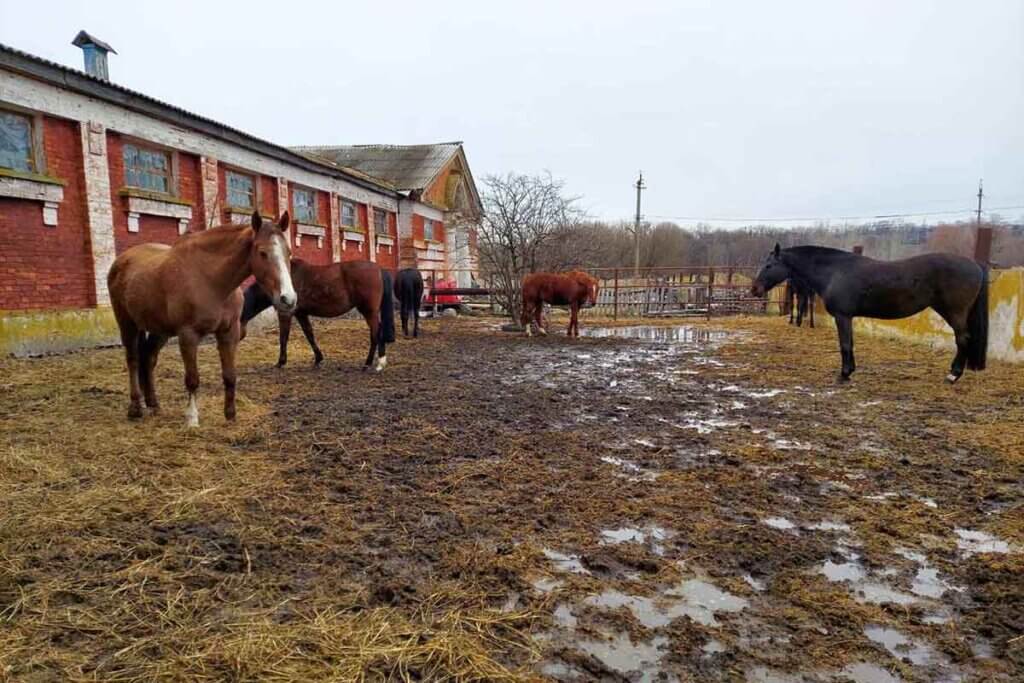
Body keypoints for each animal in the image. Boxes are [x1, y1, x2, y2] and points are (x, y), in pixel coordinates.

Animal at [107, 211, 296, 427]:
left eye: (289, 252)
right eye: (262, 253)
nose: (288, 299)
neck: (210, 279)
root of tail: (121, 261)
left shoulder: (228, 333)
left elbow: (230, 376)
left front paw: (230, 414)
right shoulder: (188, 335)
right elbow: (192, 379)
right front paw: (192, 419)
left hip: (160, 330)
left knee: (148, 358)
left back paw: (153, 404)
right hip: (127, 324)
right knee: (133, 360)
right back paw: (135, 408)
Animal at [241, 259, 395, 371]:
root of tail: (378, 269)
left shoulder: (286, 314)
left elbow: (283, 337)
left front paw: (280, 362)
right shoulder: (301, 314)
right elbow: (309, 335)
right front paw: (318, 359)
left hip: (369, 311)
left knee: (375, 333)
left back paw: (370, 363)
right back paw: (380, 362)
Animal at [752, 244, 988, 383]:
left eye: (769, 265)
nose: (754, 289)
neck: (834, 271)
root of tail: (975, 265)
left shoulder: (842, 316)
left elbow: (845, 344)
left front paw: (844, 375)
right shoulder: (847, 317)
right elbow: (850, 343)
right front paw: (850, 371)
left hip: (954, 312)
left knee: (963, 339)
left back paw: (953, 375)